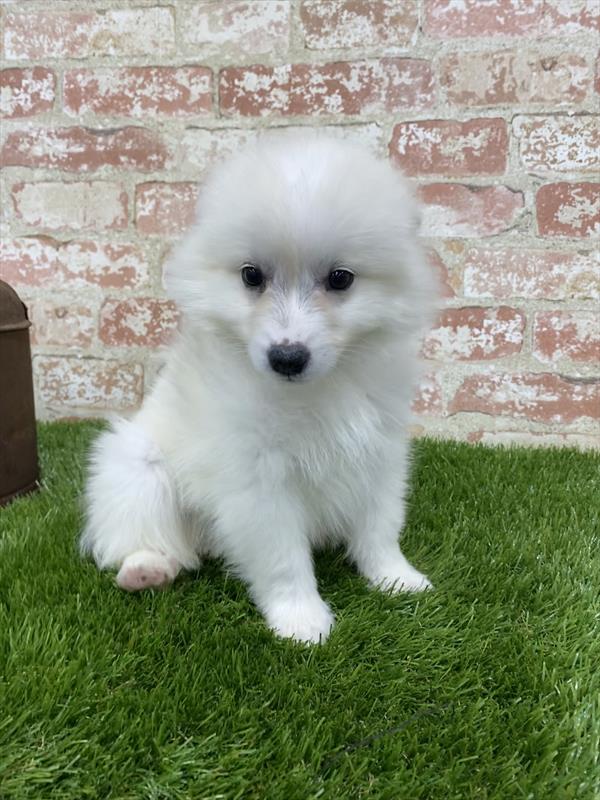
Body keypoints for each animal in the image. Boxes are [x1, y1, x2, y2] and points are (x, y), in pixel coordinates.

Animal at [81, 138, 436, 644]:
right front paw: (301, 618)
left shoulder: (380, 451)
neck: (319, 390)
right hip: (136, 468)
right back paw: (147, 569)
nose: (286, 357)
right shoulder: (257, 478)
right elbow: (283, 556)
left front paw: (394, 577)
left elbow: (380, 526)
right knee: (141, 534)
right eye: (252, 276)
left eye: (341, 278)